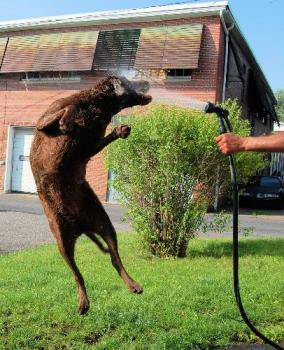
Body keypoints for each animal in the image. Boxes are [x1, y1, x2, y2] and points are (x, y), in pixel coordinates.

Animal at [30, 75, 152, 314]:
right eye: (129, 80)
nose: (148, 80)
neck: (98, 105)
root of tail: (81, 226)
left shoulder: (91, 144)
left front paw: (120, 131)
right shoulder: (45, 119)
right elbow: (69, 107)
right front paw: (68, 121)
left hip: (104, 223)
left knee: (114, 260)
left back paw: (132, 285)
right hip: (61, 239)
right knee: (77, 275)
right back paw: (83, 302)